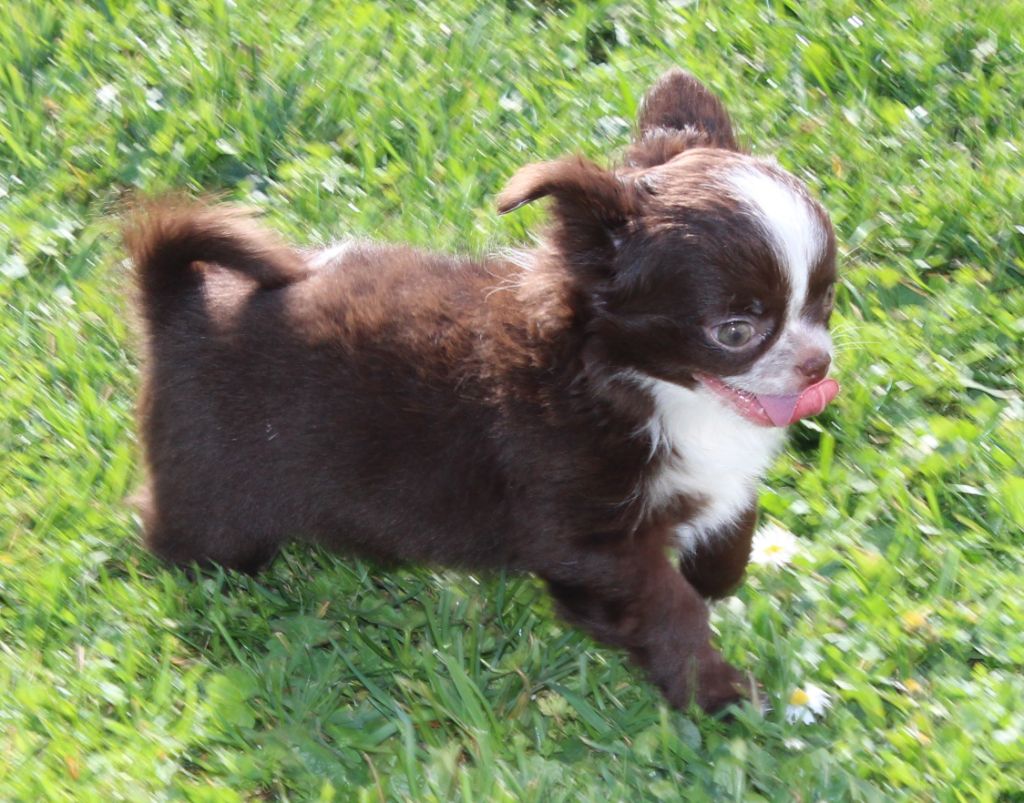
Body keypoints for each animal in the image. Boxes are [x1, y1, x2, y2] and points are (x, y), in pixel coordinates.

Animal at [123, 67, 835, 708]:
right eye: (735, 331)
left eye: (826, 301)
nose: (819, 364)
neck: (651, 389)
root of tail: (178, 301)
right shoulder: (591, 538)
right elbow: (669, 609)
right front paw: (718, 690)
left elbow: (732, 533)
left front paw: (718, 585)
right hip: (218, 507)